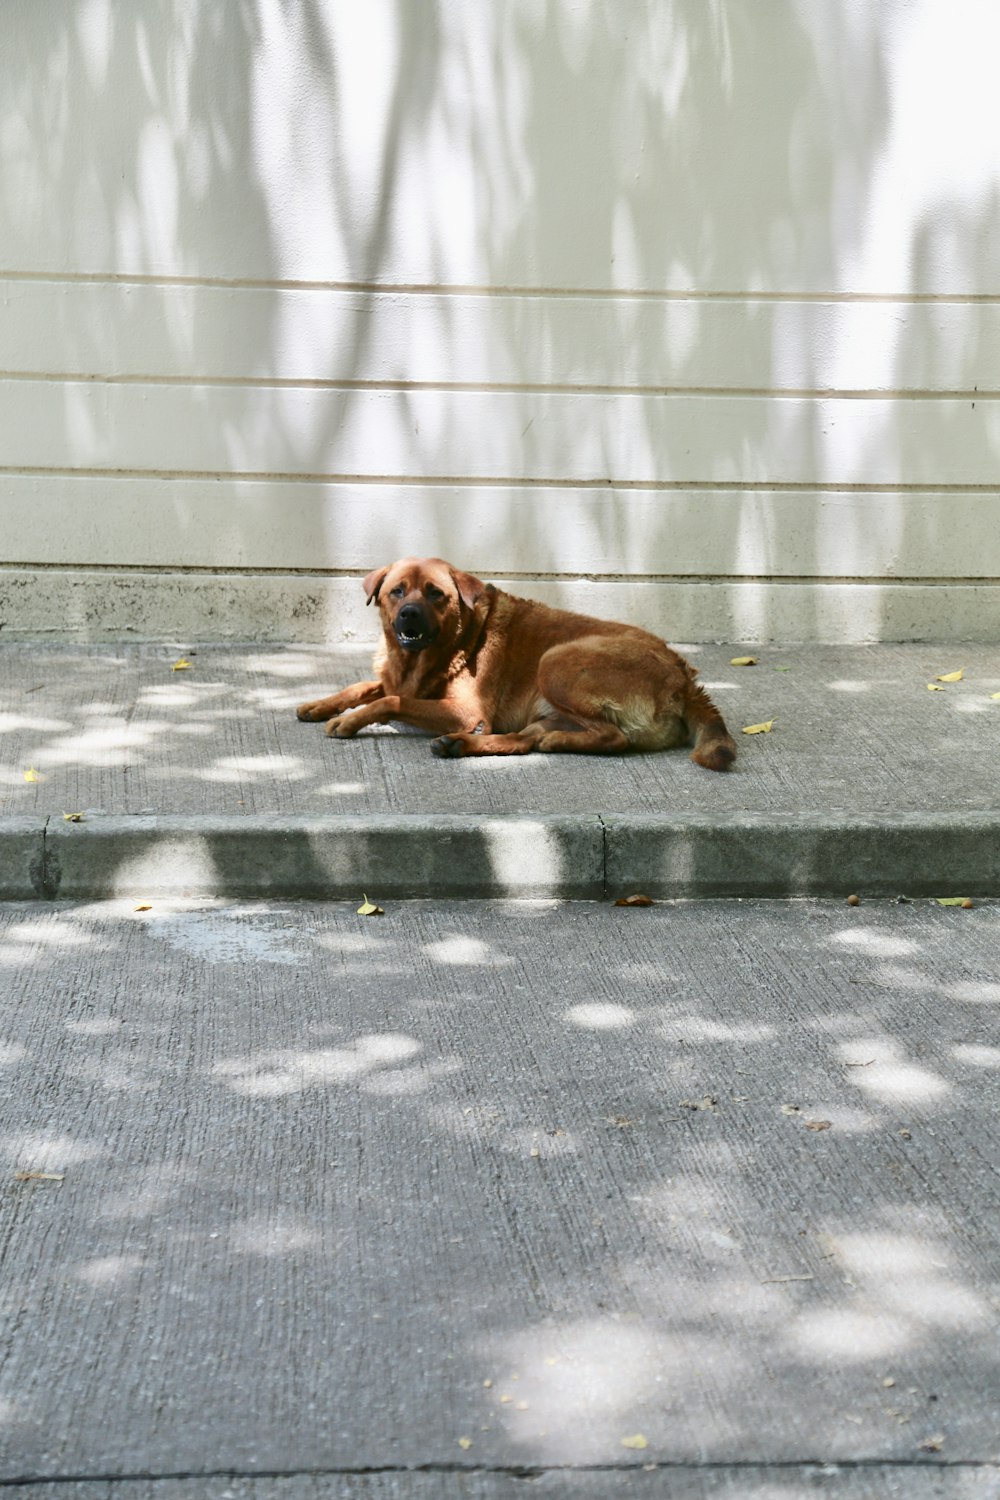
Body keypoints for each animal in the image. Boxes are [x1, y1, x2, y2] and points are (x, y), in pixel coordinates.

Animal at [296, 561, 734, 774]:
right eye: (397, 591)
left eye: (436, 594)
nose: (409, 615)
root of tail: (685, 678)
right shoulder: (399, 681)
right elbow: (366, 687)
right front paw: (320, 704)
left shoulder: (465, 711)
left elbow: (391, 701)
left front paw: (349, 720)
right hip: (547, 703)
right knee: (526, 740)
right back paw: (461, 745)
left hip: (555, 662)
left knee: (613, 737)